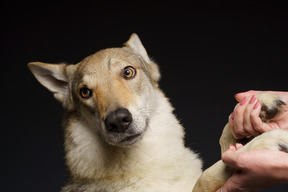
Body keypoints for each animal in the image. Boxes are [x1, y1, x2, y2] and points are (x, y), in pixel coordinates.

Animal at [28, 33, 288, 191]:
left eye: (128, 72)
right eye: (84, 92)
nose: (118, 121)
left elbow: (224, 139)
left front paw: (260, 103)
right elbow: (210, 173)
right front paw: (268, 141)